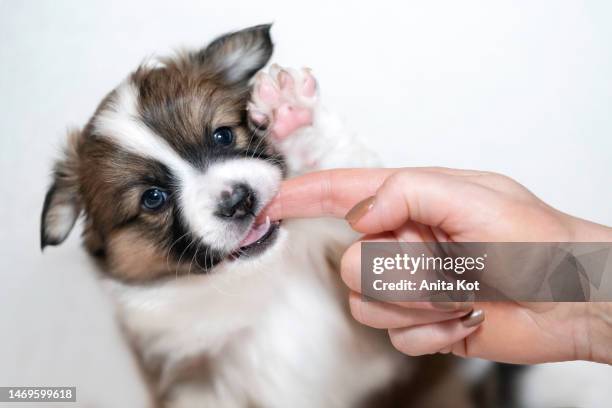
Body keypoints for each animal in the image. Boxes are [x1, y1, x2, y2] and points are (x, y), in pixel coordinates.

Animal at [41, 26, 406, 408]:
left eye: (223, 135)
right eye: (153, 199)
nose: (238, 201)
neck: (264, 277)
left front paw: (289, 111)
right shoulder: (193, 375)